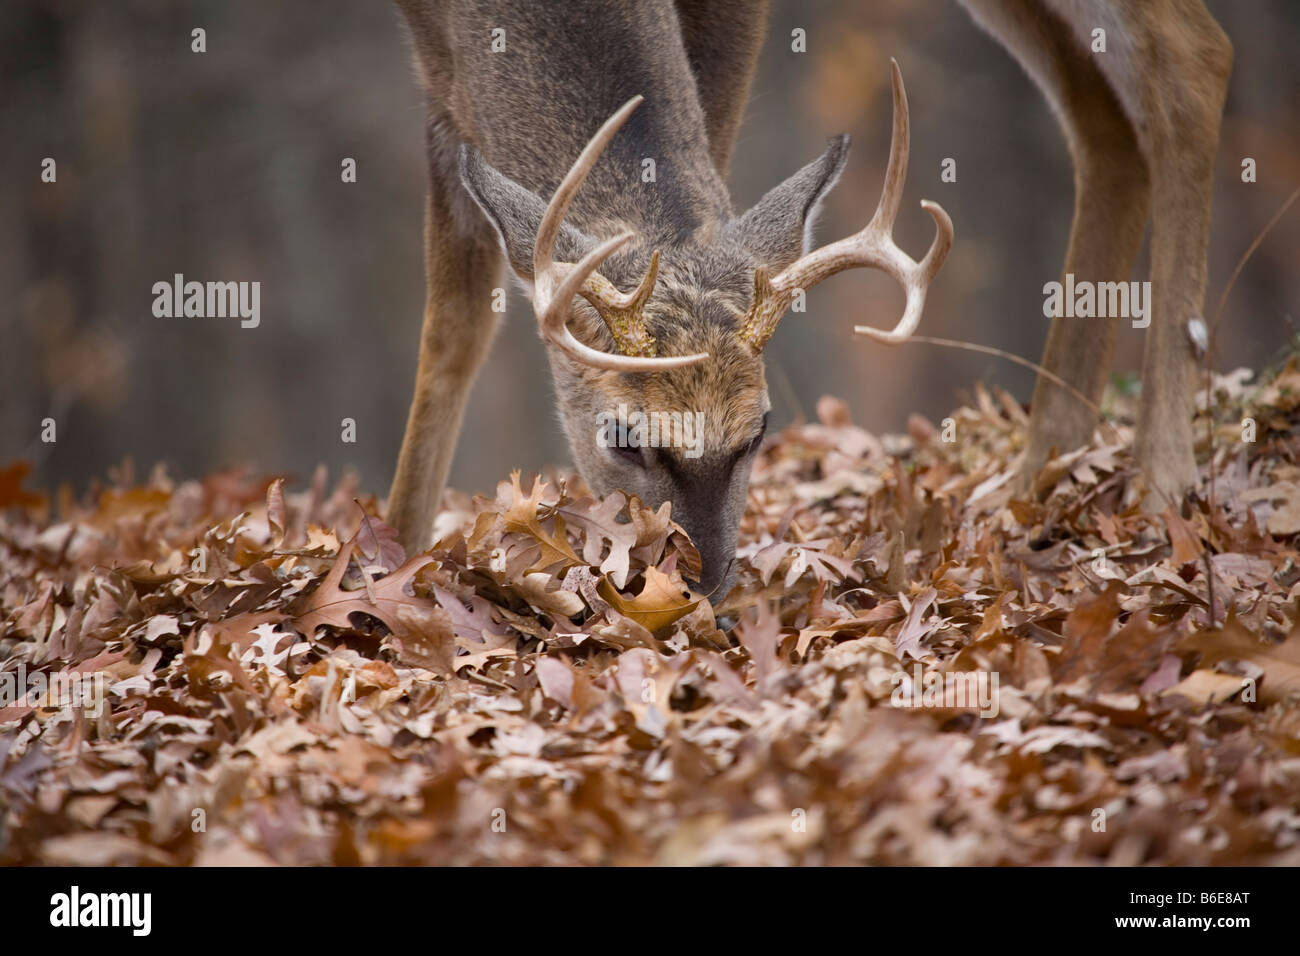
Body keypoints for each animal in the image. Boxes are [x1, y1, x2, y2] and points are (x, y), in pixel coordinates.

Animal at [382, 0, 1227, 600]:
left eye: (759, 431)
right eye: (622, 437)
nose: (701, 587)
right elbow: (452, 336)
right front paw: (396, 553)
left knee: (1189, 55)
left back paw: (1162, 481)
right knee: (1104, 111)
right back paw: (1041, 474)